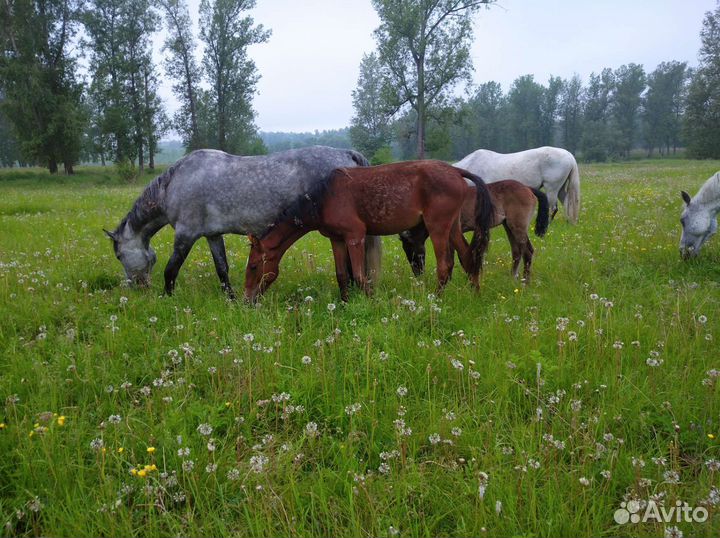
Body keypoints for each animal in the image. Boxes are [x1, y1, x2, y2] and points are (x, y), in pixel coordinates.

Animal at [104, 146, 380, 299]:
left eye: (119, 256)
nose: (136, 288)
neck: (178, 182)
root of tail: (346, 154)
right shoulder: (212, 235)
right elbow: (222, 269)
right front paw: (231, 298)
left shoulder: (185, 234)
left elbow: (171, 269)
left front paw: (167, 297)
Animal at [243, 160, 494, 302]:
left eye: (254, 266)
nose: (247, 299)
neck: (324, 198)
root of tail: (457, 171)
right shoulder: (337, 239)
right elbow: (342, 275)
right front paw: (344, 304)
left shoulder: (355, 237)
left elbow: (360, 276)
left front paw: (372, 303)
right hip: (452, 226)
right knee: (468, 257)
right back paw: (476, 295)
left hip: (438, 227)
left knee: (445, 266)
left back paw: (437, 301)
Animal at [400, 180, 549, 283]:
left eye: (412, 249)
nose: (418, 273)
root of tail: (527, 188)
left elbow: (456, 258)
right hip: (508, 226)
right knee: (517, 251)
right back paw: (513, 278)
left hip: (517, 226)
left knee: (527, 251)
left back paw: (525, 282)